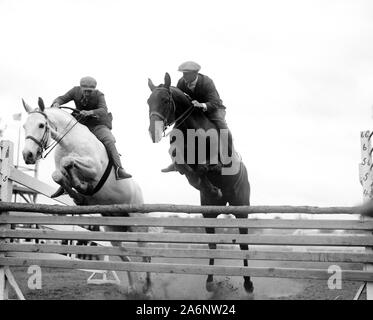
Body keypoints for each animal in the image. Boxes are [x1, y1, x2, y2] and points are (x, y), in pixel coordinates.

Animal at [20, 97, 150, 296]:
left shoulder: (94, 168)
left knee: (145, 255)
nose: (28, 155)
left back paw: (147, 287)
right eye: (24, 126)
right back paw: (133, 288)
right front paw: (79, 194)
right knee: (125, 256)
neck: (68, 142)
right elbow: (59, 174)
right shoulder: (63, 170)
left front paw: (82, 186)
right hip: (114, 229)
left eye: (41, 125)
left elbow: (69, 163)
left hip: (138, 223)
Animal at [145, 74, 253, 294]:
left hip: (241, 208)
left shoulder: (215, 162)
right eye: (148, 102)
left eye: (166, 101)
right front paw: (207, 186)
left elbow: (205, 167)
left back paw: (248, 284)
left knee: (244, 245)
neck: (191, 130)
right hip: (209, 213)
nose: (153, 132)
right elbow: (184, 166)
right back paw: (210, 281)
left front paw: (208, 181)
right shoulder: (180, 157)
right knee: (212, 245)